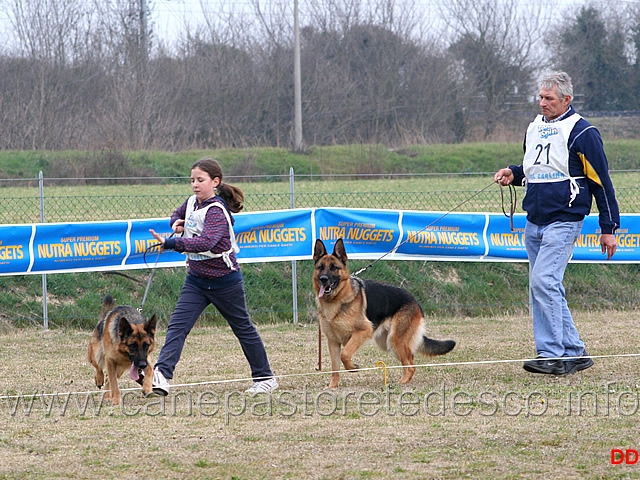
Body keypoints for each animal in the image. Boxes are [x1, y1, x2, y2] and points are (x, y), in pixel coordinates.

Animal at [314, 238, 456, 388]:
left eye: (334, 267)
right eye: (321, 267)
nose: (323, 279)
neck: (336, 300)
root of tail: (414, 300)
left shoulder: (363, 331)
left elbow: (345, 354)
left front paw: (352, 368)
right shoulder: (333, 342)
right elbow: (335, 367)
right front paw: (332, 386)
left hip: (394, 340)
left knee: (410, 365)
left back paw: (401, 383)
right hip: (387, 342)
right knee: (410, 359)